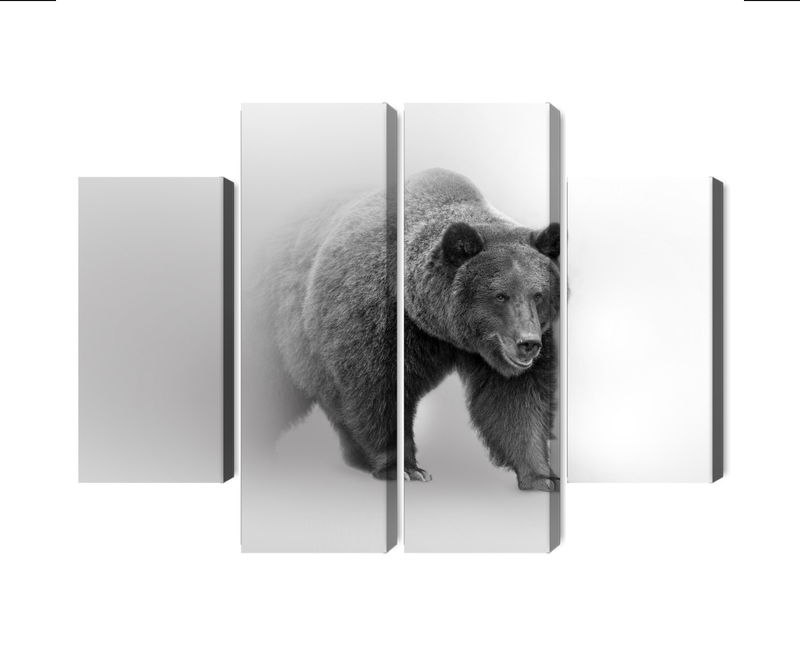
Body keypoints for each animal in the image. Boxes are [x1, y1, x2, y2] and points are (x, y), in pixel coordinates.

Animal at [264, 167, 559, 491]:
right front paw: (405, 468)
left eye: (538, 294)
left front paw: (542, 476)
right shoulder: (377, 322)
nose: (527, 343)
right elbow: (379, 393)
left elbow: (517, 399)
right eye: (500, 295)